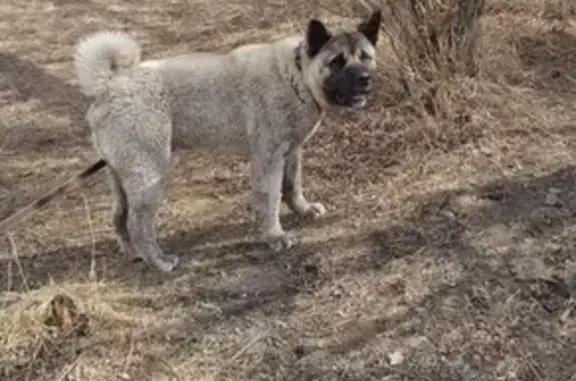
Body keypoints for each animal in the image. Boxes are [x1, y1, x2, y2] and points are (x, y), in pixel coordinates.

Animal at [0, 10, 382, 272]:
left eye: (366, 57)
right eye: (337, 62)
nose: (365, 79)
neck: (297, 73)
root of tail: (110, 85)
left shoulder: (292, 152)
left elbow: (293, 187)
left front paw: (303, 210)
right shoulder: (268, 158)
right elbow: (271, 199)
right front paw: (275, 236)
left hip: (121, 177)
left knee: (119, 219)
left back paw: (135, 255)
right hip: (151, 175)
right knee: (139, 224)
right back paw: (159, 260)